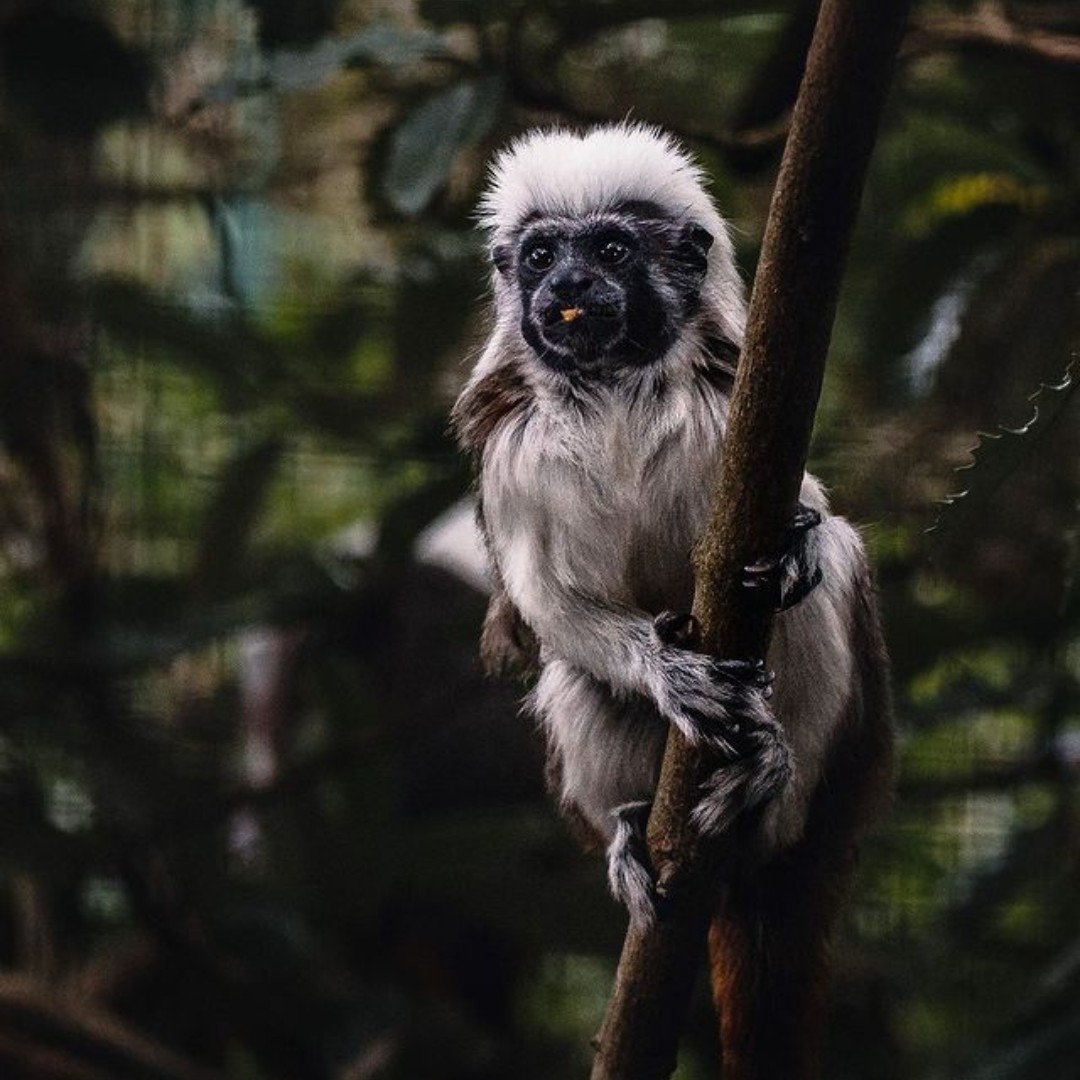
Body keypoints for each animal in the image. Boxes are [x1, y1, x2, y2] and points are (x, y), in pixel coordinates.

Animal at [449, 122, 894, 1075]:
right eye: (542, 256)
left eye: (610, 251)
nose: (568, 288)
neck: (616, 386)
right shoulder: (513, 461)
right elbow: (546, 605)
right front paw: (668, 672)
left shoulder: (734, 420)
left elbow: (822, 530)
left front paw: (802, 537)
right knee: (572, 681)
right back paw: (627, 831)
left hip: (845, 758)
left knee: (827, 588)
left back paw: (767, 781)